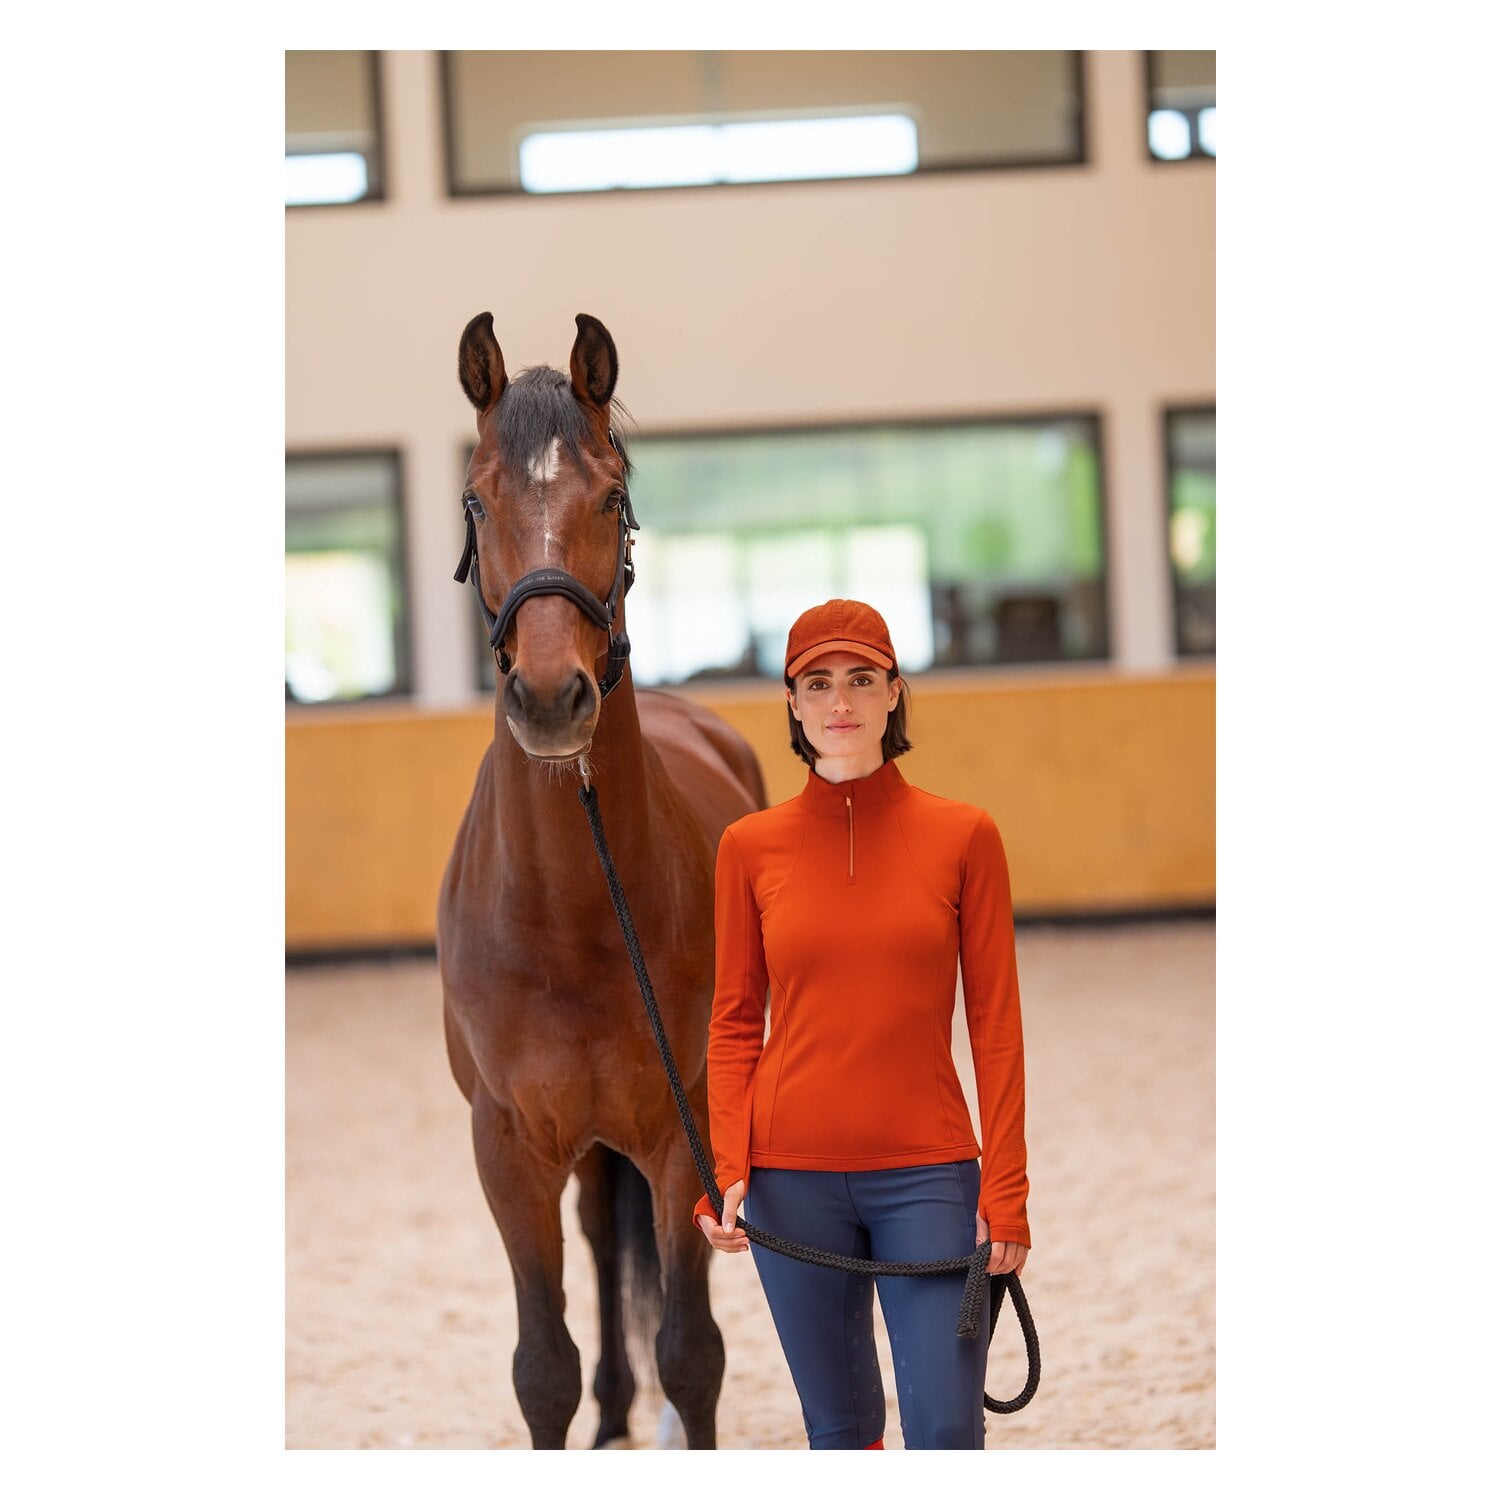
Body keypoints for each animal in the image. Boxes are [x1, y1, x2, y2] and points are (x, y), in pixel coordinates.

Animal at [437, 312, 766, 1449]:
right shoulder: (505, 1147)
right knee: (596, 1234)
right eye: (476, 500)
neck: (570, 915)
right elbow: (544, 1368)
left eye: (613, 498)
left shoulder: (683, 1130)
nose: (551, 699)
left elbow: (693, 1349)